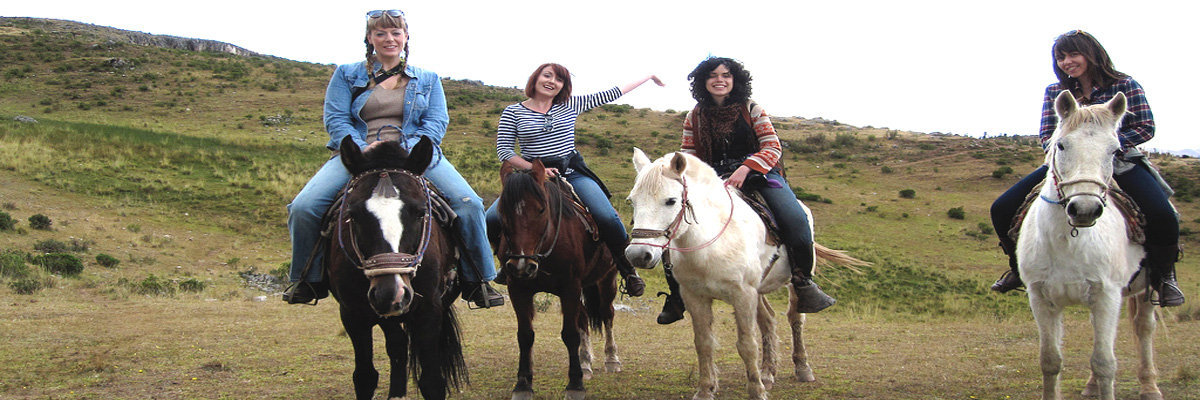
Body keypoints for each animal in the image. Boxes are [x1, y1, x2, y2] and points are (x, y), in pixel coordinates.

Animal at [326, 134, 465, 398]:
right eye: (353, 215)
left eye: (420, 213)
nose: (392, 293)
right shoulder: (352, 314)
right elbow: (365, 377)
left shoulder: (430, 309)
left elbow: (432, 381)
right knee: (398, 344)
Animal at [496, 158, 628, 398]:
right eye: (502, 211)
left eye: (541, 210)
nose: (522, 265)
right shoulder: (518, 288)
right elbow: (525, 335)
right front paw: (523, 385)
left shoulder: (570, 287)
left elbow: (570, 334)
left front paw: (575, 385)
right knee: (584, 318)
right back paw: (585, 363)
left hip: (607, 279)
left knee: (607, 313)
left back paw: (612, 360)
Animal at [624, 148, 868, 398]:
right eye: (632, 201)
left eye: (671, 201)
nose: (638, 254)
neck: (710, 244)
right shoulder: (696, 297)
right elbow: (704, 343)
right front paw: (705, 389)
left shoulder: (742, 295)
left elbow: (747, 344)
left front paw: (756, 391)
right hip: (758, 290)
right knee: (768, 320)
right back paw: (767, 373)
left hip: (791, 283)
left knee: (795, 318)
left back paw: (802, 368)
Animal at [1017, 90, 1156, 398]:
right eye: (1061, 145)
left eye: (1115, 151)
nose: (1084, 209)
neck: (1068, 243)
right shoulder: (1040, 297)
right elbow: (1050, 361)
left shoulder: (1107, 295)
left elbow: (1105, 363)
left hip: (1148, 288)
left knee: (1144, 328)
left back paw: (1150, 386)